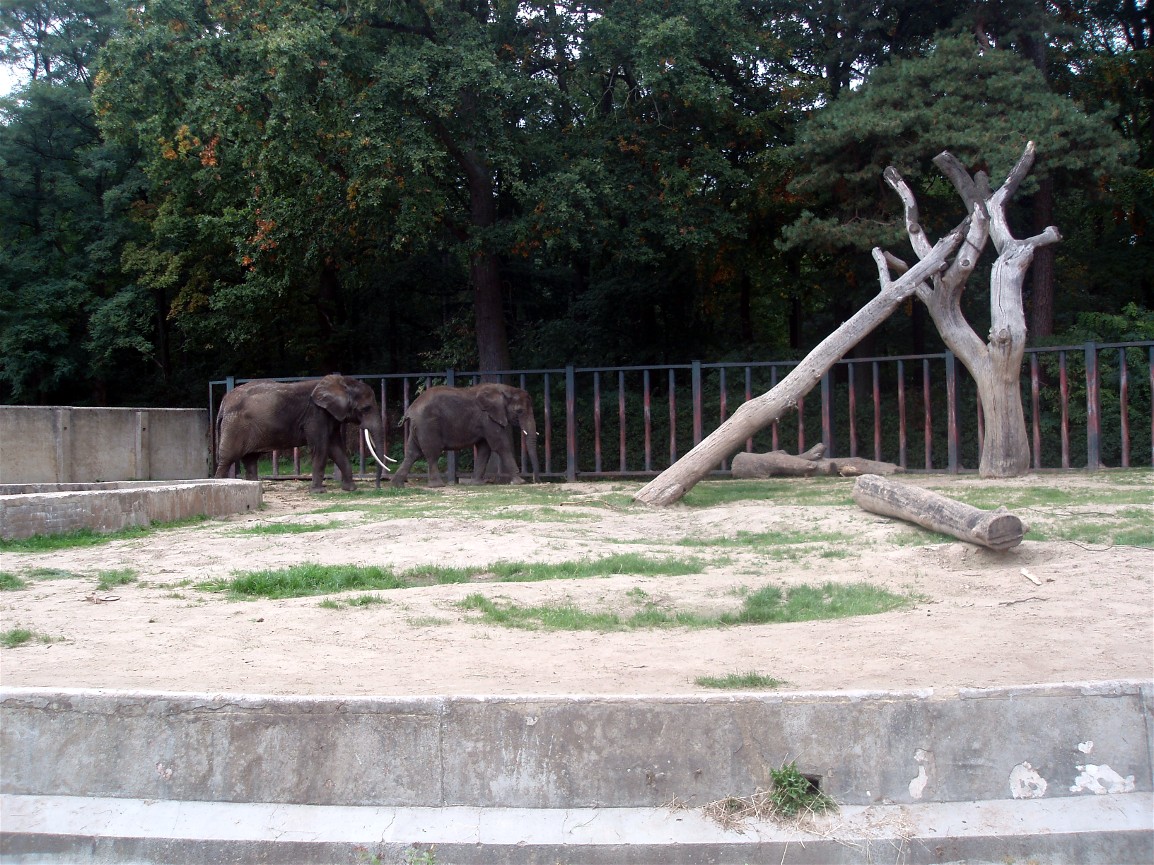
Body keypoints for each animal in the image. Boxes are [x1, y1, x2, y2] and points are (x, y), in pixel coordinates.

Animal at [214, 374, 393, 492]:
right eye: (366, 408)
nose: (378, 488)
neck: (341, 384)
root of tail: (224, 402)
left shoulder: (330, 416)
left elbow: (336, 449)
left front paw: (351, 489)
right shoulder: (316, 415)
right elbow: (321, 448)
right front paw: (319, 492)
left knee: (250, 459)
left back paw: (259, 490)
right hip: (234, 425)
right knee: (228, 458)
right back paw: (218, 483)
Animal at [391, 383, 541, 487]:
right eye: (520, 411)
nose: (536, 481)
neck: (503, 389)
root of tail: (410, 410)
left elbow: (484, 449)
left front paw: (476, 484)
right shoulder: (488, 418)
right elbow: (500, 445)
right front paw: (519, 482)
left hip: (417, 427)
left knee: (412, 453)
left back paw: (397, 485)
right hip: (428, 425)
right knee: (432, 453)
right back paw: (437, 486)